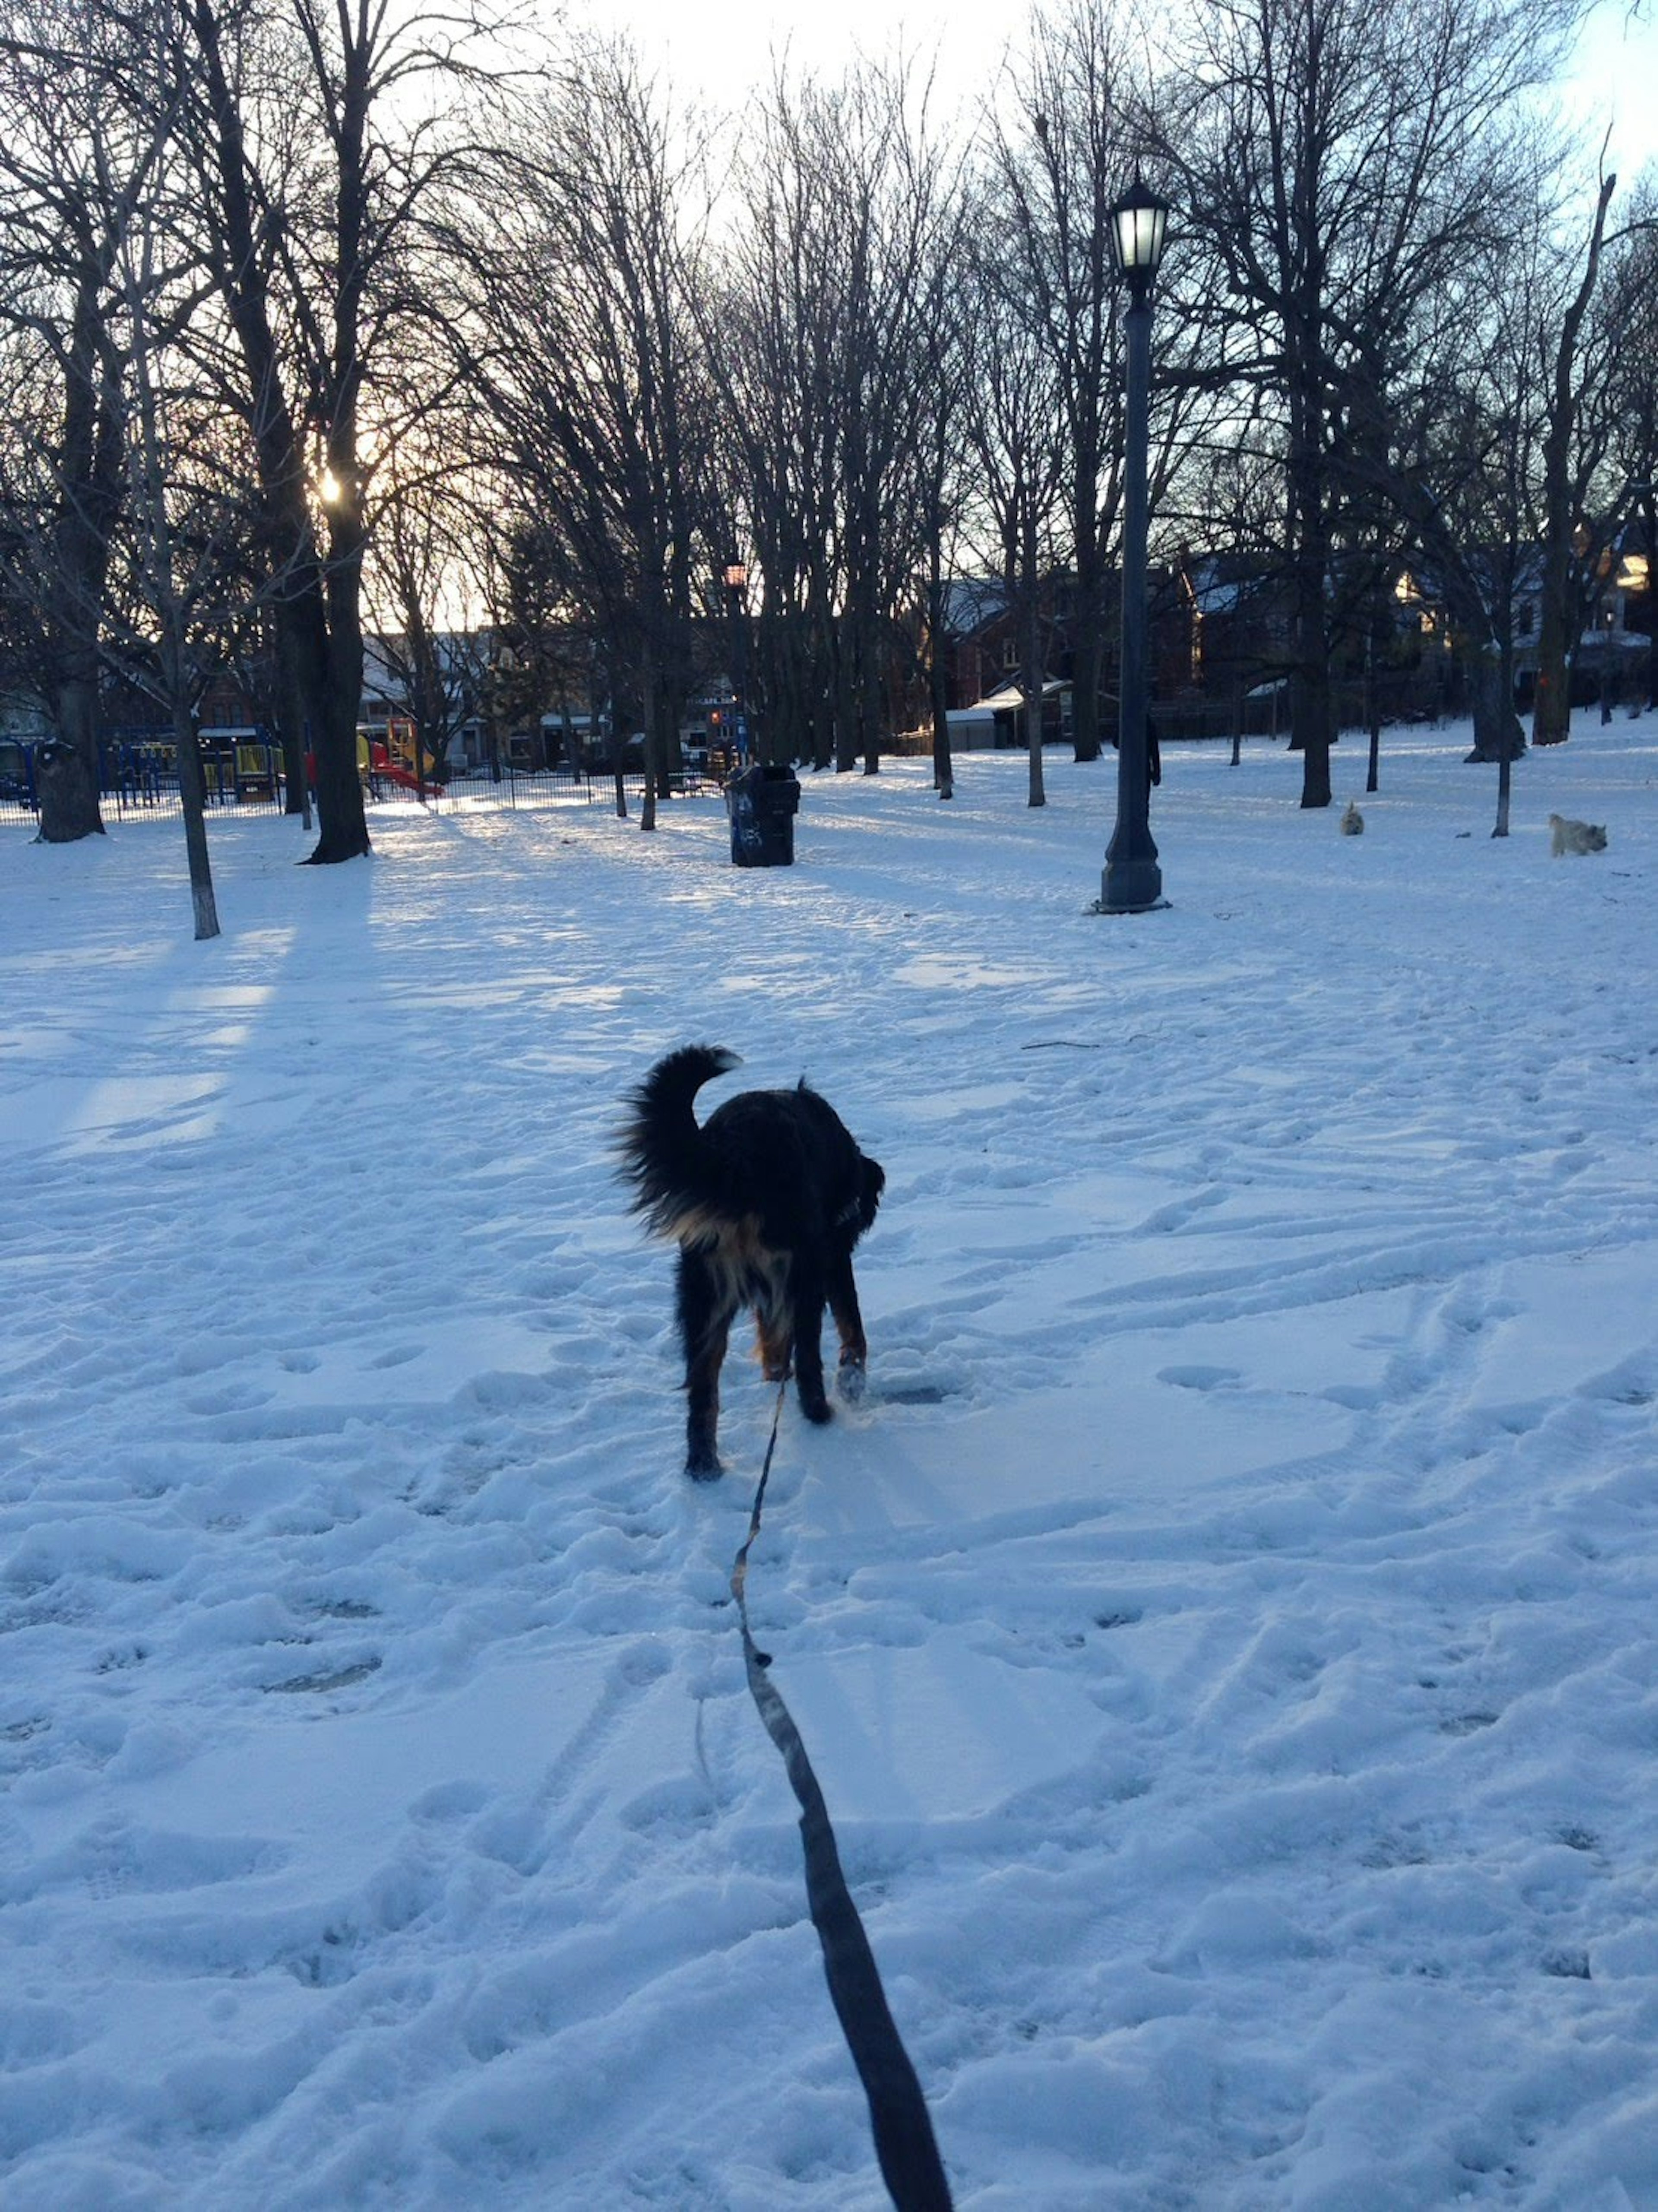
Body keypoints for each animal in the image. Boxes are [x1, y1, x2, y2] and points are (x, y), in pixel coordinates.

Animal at [619, 1044, 884, 1477]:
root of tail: (736, 1155)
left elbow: (773, 1337)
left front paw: (774, 1375)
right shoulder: (830, 1256)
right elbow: (852, 1325)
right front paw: (851, 1381)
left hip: (703, 1296)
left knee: (702, 1395)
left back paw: (704, 1468)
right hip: (802, 1274)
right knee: (808, 1359)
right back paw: (820, 1415)